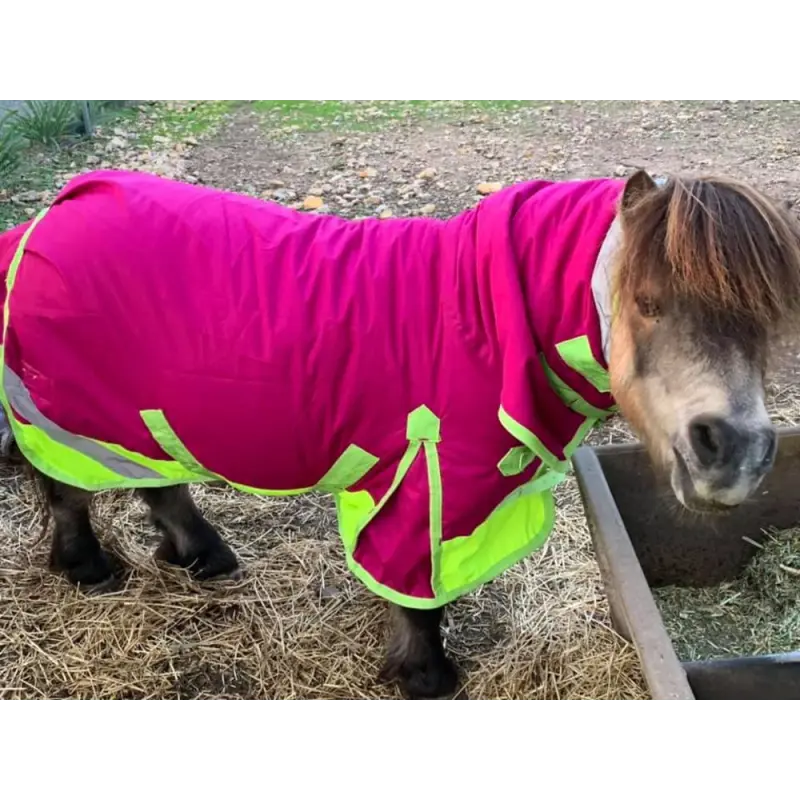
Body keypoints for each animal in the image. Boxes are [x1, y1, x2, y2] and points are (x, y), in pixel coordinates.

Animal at [1, 167, 799, 702]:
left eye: (766, 320)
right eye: (648, 302)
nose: (735, 454)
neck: (483, 322)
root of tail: (43, 221)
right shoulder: (430, 486)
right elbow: (419, 595)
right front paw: (428, 677)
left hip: (134, 421)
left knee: (156, 483)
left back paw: (204, 557)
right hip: (73, 416)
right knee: (69, 490)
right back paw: (90, 568)